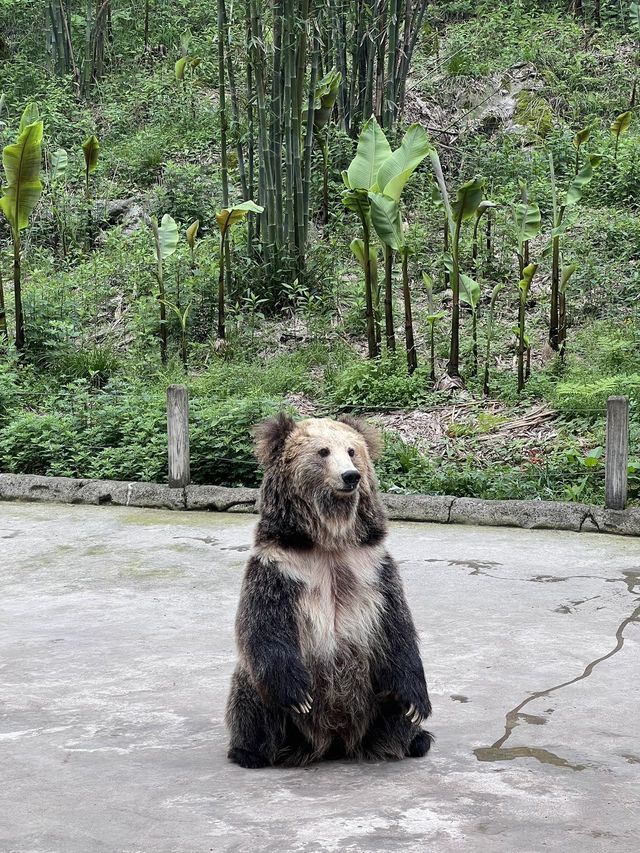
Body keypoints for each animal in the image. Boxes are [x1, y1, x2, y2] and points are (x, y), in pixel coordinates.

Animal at [222, 412, 432, 764]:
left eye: (351, 450)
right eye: (323, 451)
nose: (351, 476)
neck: (329, 542)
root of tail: (334, 742)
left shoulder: (373, 569)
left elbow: (397, 629)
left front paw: (418, 704)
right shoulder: (280, 569)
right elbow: (263, 626)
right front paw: (298, 696)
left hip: (372, 692)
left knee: (392, 698)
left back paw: (413, 740)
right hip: (280, 711)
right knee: (251, 691)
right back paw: (251, 752)